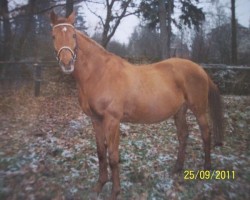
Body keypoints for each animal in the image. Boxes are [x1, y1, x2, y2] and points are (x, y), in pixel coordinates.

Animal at [49, 11, 224, 199]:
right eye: (54, 36)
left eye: (73, 35)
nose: (67, 63)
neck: (99, 73)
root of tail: (201, 70)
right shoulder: (96, 120)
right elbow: (101, 153)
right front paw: (99, 185)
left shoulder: (112, 121)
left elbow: (113, 156)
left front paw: (115, 191)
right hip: (179, 111)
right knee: (183, 135)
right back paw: (177, 168)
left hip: (199, 110)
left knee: (206, 134)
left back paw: (207, 168)